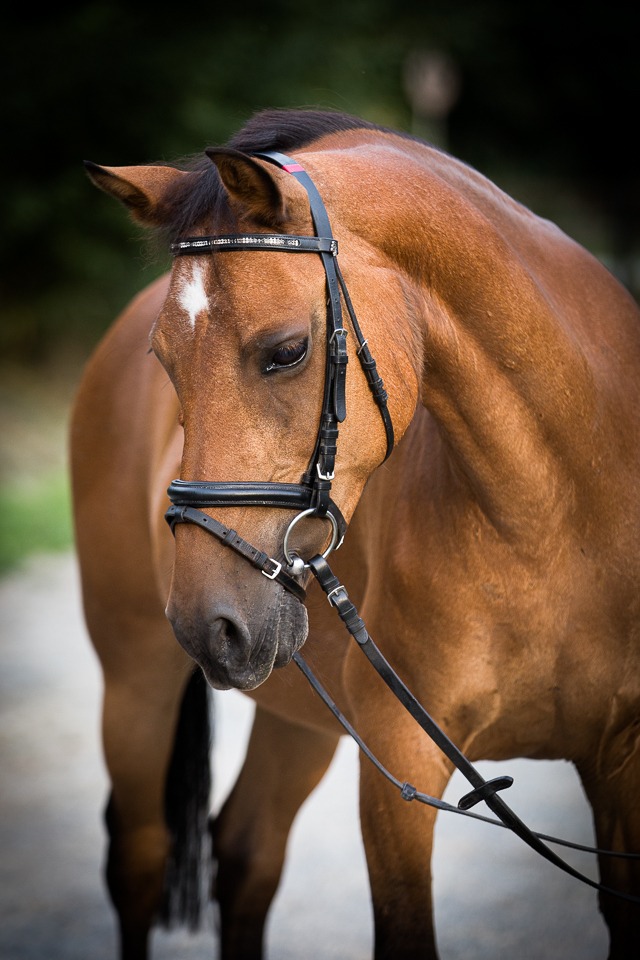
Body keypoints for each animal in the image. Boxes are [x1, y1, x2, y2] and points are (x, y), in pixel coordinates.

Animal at [71, 109, 640, 956]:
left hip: (293, 704)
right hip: (136, 678)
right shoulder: (399, 765)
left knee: (247, 852)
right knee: (140, 858)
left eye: (287, 352)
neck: (562, 516)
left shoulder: (621, 763)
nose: (208, 625)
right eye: (164, 362)